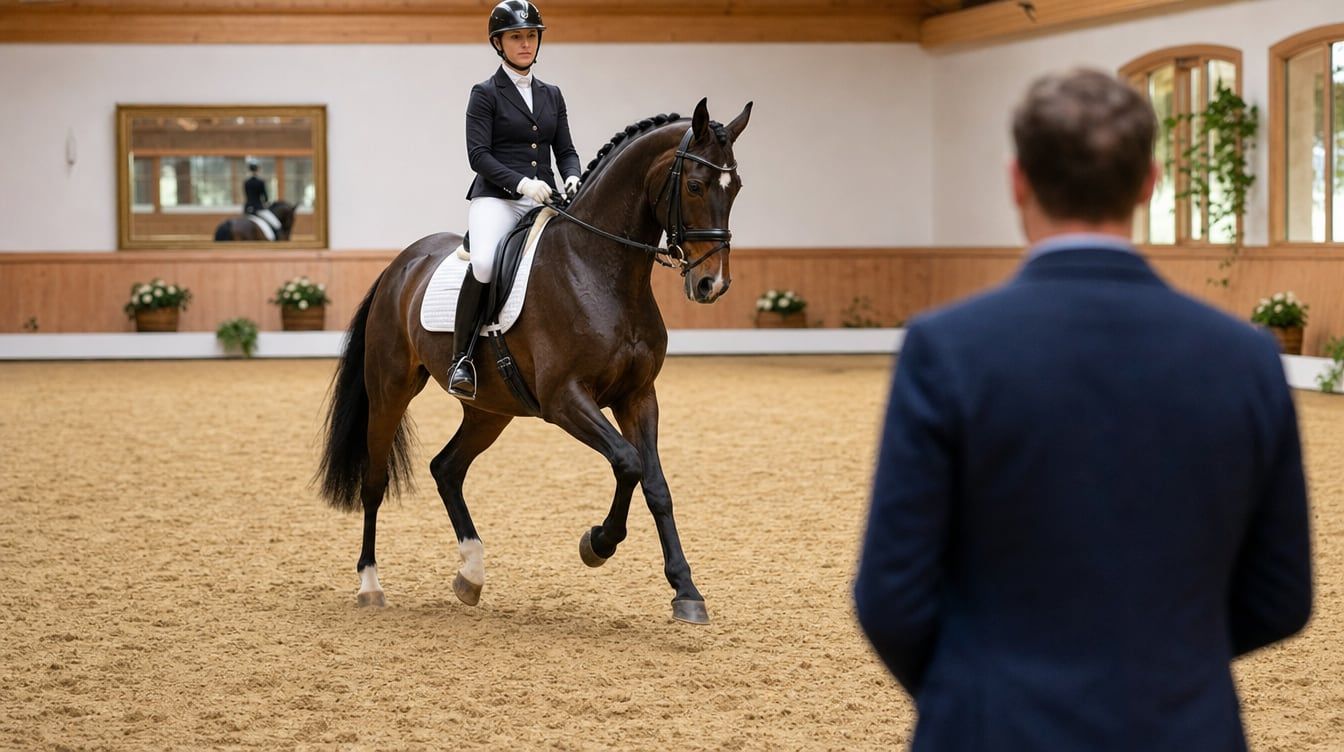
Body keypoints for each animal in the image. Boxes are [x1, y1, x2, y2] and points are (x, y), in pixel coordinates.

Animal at [316, 98, 751, 624]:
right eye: (694, 186)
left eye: (736, 187)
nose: (712, 285)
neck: (600, 269)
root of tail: (401, 264)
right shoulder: (564, 399)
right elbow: (627, 462)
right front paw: (597, 544)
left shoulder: (638, 396)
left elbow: (656, 484)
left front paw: (686, 590)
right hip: (390, 389)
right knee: (375, 481)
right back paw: (371, 584)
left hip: (489, 409)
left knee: (447, 468)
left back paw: (471, 575)